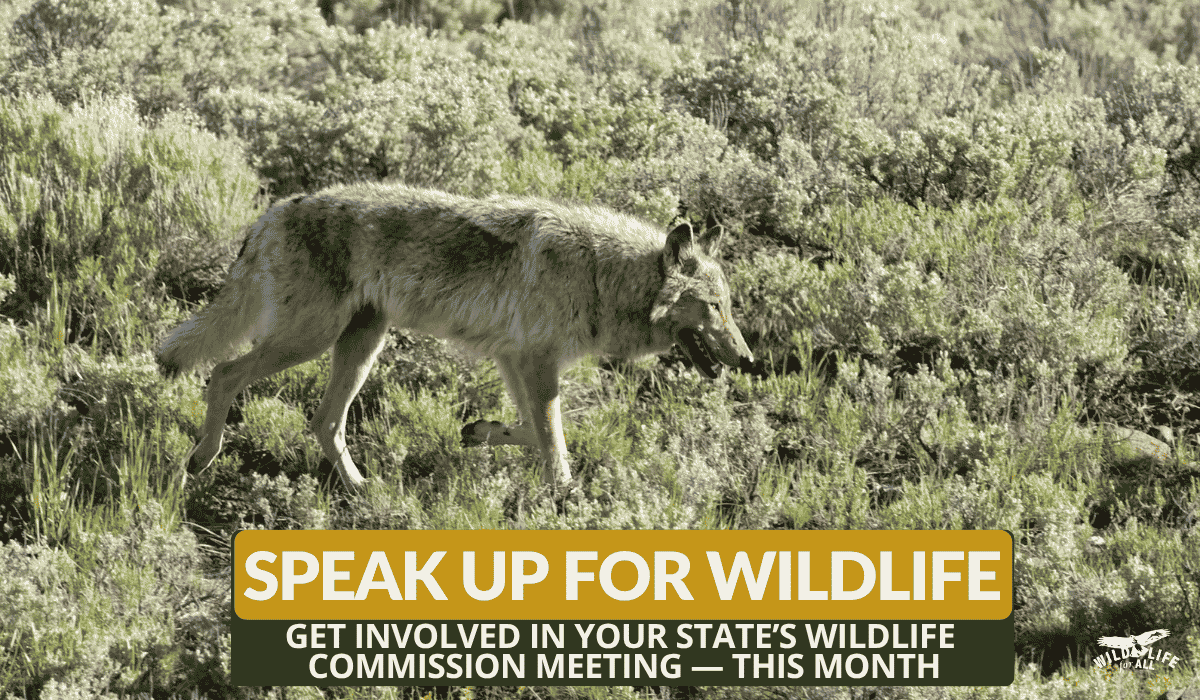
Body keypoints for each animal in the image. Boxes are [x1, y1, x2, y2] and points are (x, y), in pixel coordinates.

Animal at [157, 183, 754, 490]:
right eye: (715, 308)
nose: (748, 360)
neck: (598, 274)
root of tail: (271, 212)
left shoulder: (517, 360)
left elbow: (533, 432)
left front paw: (479, 431)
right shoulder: (537, 363)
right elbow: (555, 445)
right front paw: (567, 501)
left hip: (360, 343)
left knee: (324, 422)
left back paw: (364, 492)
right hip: (310, 339)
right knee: (222, 373)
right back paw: (200, 460)